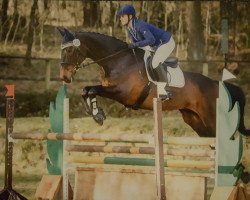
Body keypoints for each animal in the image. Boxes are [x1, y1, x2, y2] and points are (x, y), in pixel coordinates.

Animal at [57, 28, 249, 138]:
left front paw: (97, 114)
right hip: (196, 121)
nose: (64, 77)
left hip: (211, 118)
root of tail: (217, 84)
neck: (117, 60)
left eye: (70, 50)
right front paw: (96, 113)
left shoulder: (123, 93)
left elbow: (91, 90)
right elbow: (86, 90)